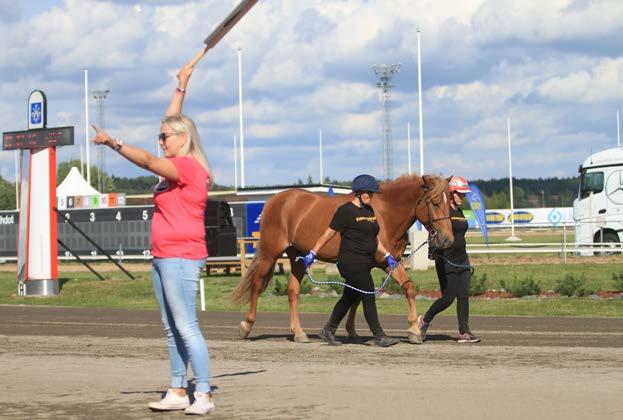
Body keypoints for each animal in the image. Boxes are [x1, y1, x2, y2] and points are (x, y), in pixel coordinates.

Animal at [230, 176, 454, 342]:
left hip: (298, 258)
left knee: (292, 291)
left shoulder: (384, 263)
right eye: (435, 203)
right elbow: (361, 294)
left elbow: (401, 289)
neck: (384, 215)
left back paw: (299, 332)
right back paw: (246, 326)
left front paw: (414, 331)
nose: (447, 240)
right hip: (270, 253)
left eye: (450, 203)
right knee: (257, 284)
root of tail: (274, 201)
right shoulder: (375, 264)